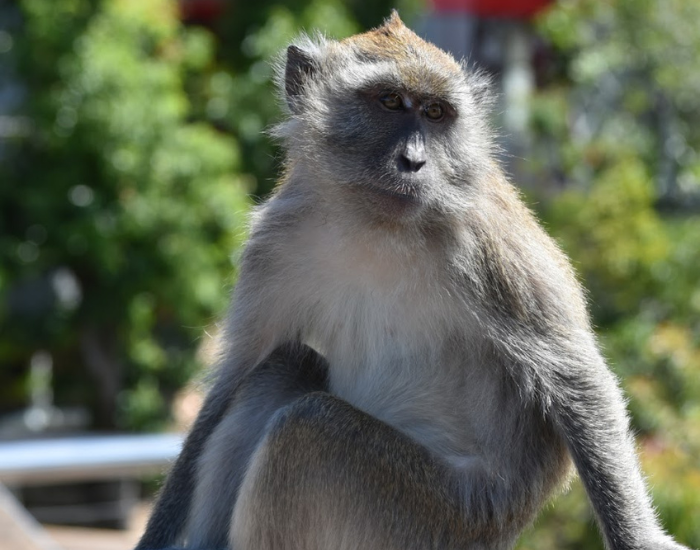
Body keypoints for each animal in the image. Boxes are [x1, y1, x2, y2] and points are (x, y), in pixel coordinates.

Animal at [136, 12, 693, 550]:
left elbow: (573, 374)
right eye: (389, 101)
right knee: (280, 366)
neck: (372, 223)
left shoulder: (486, 242)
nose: (414, 161)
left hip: (438, 515)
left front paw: (640, 538)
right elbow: (234, 377)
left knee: (305, 426)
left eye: (435, 113)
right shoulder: (274, 241)